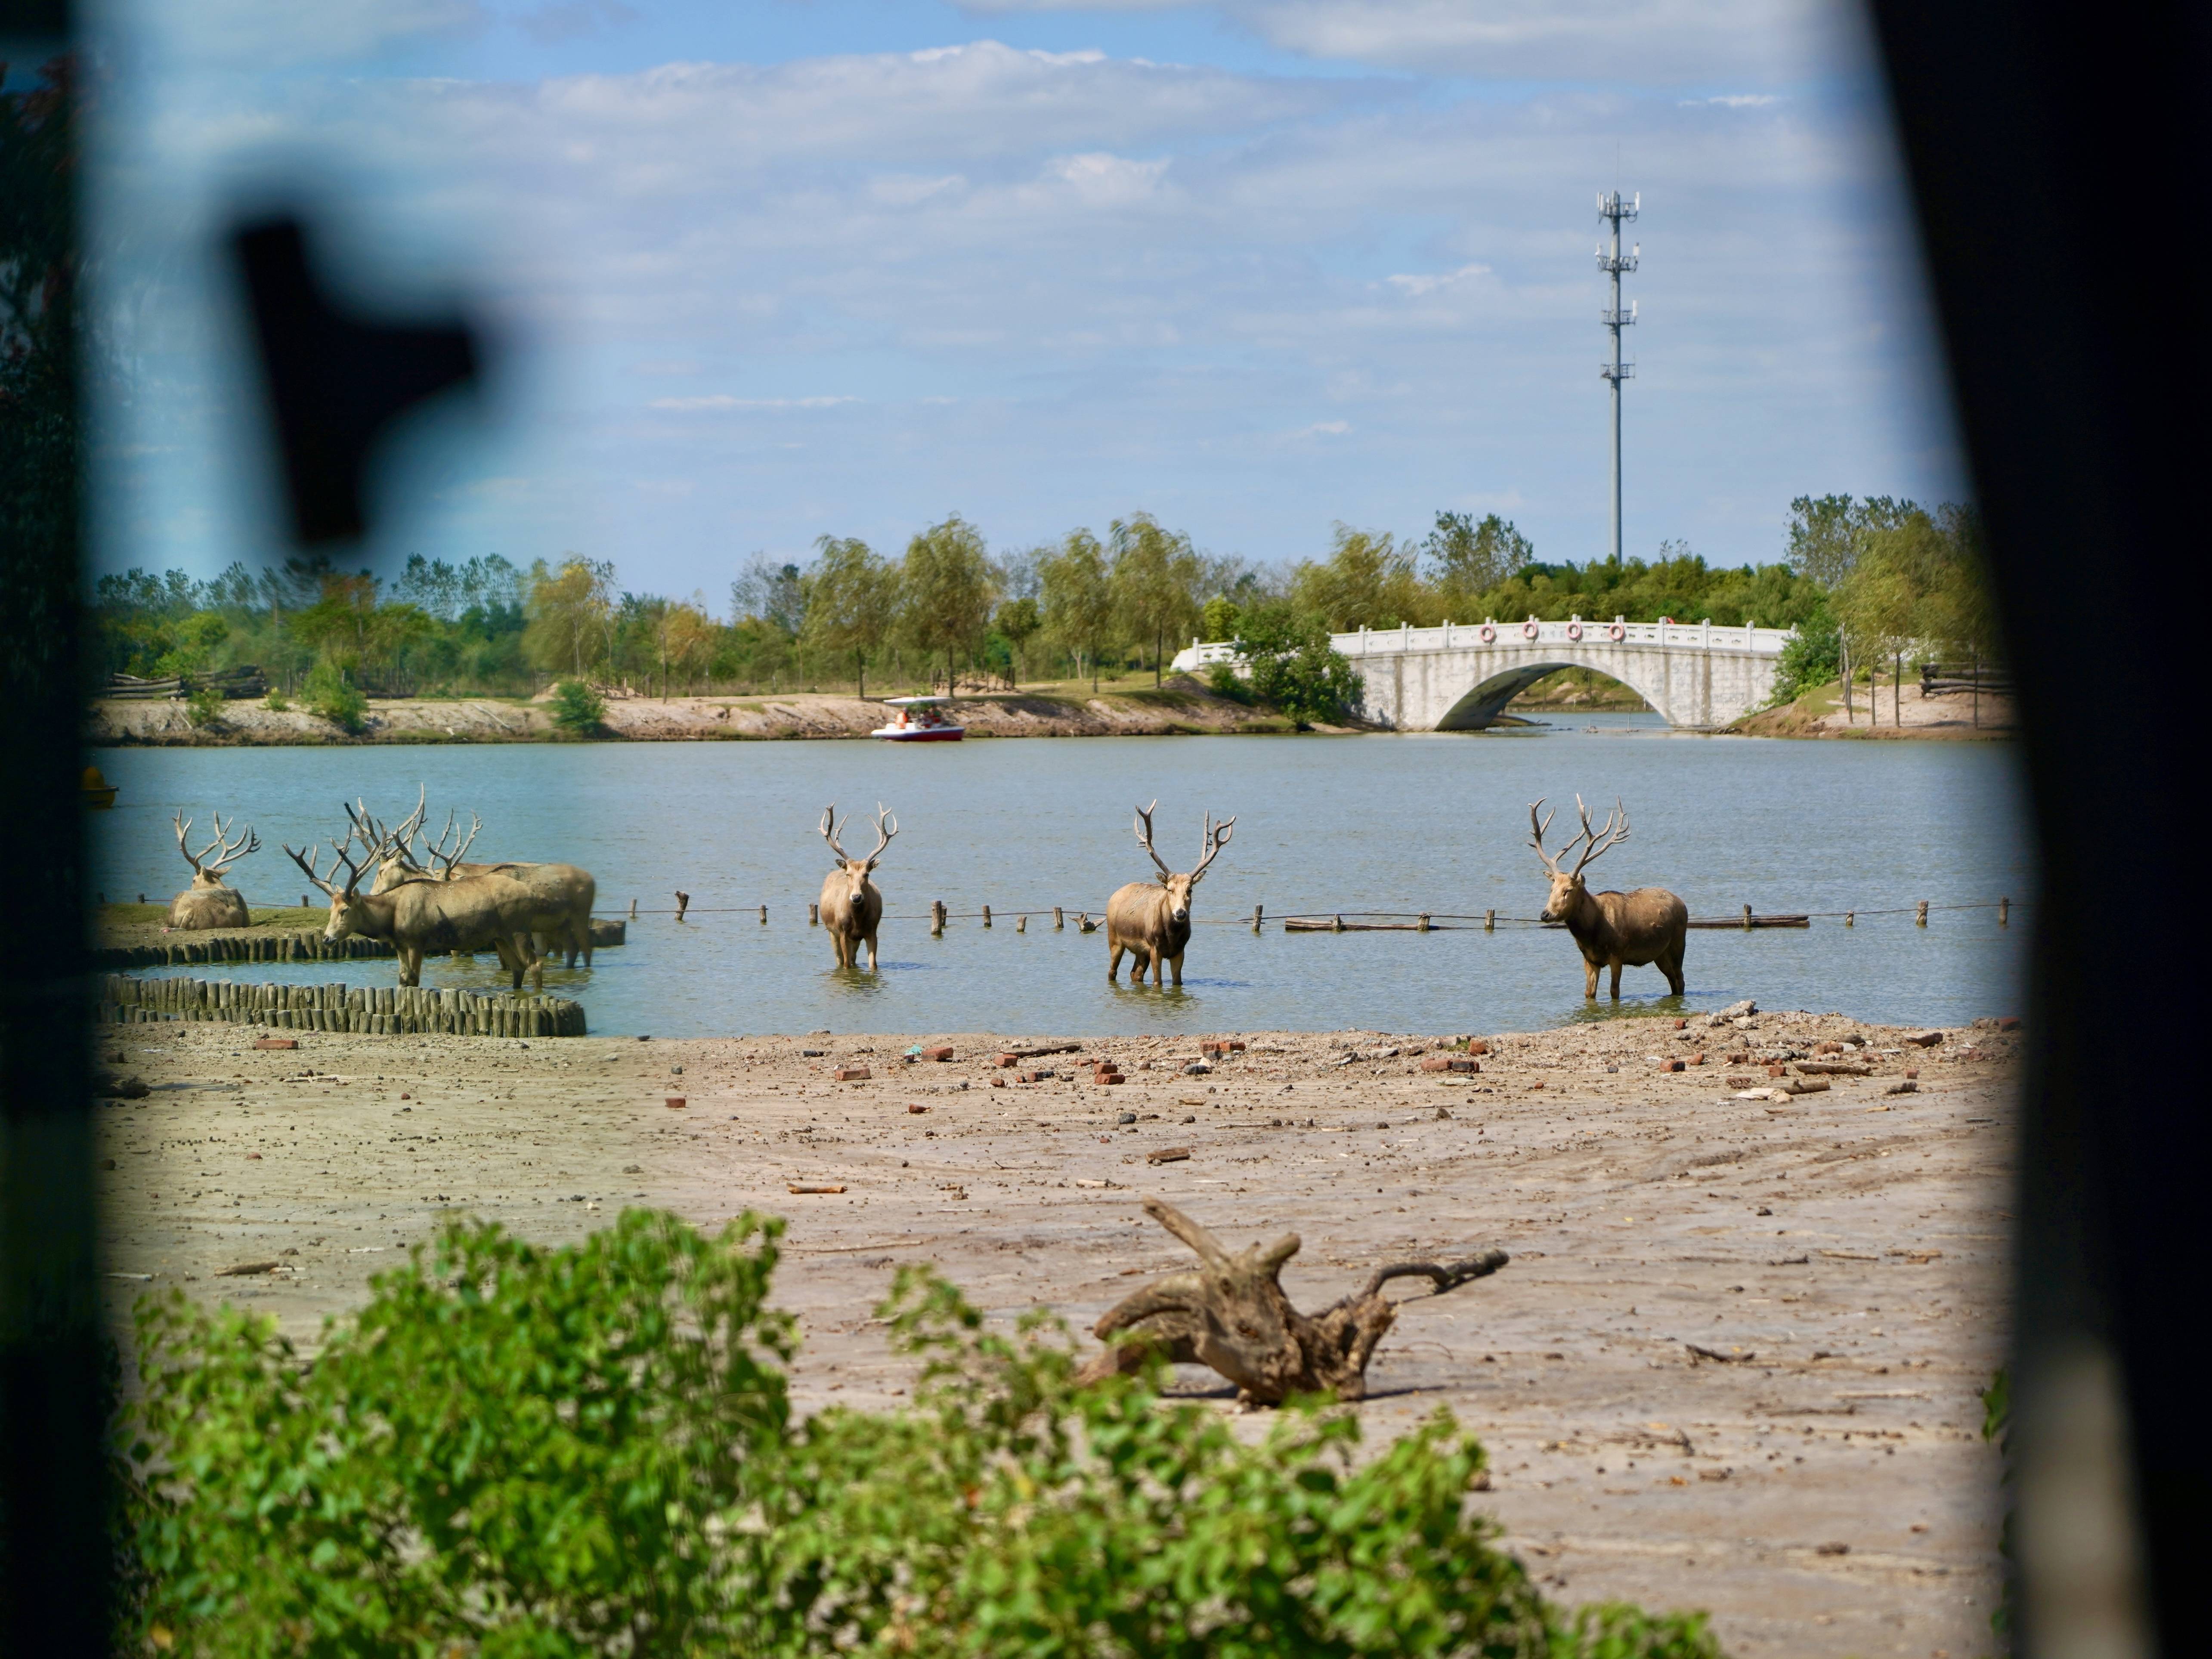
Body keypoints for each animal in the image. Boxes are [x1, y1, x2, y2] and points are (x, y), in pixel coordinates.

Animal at [818, 805, 894, 973]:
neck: (857, 919)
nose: (856, 897)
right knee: (840, 960)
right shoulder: (843, 932)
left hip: (855, 939)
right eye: (849, 874)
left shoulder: (872, 932)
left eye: (867, 874)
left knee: (853, 959)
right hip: (832, 932)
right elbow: (846, 965)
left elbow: (873, 965)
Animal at [1106, 805, 1247, 986]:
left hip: (1141, 952)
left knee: (1135, 974)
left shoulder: (1180, 950)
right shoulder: (1155, 948)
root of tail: (1115, 895)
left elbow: (1178, 982)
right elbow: (1157, 982)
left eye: (1190, 889)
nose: (1180, 913)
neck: (1171, 937)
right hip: (1115, 939)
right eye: (1170, 889)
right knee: (1112, 971)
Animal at [1531, 801, 1681, 1009]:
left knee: (1680, 981)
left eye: (1569, 890)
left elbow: (1614, 992)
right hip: (1661, 954)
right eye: (1552, 888)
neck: (1592, 934)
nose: (1545, 914)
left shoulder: (1618, 954)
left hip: (1678, 944)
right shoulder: (1590, 959)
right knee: (1673, 982)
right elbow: (1589, 993)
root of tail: (1682, 903)